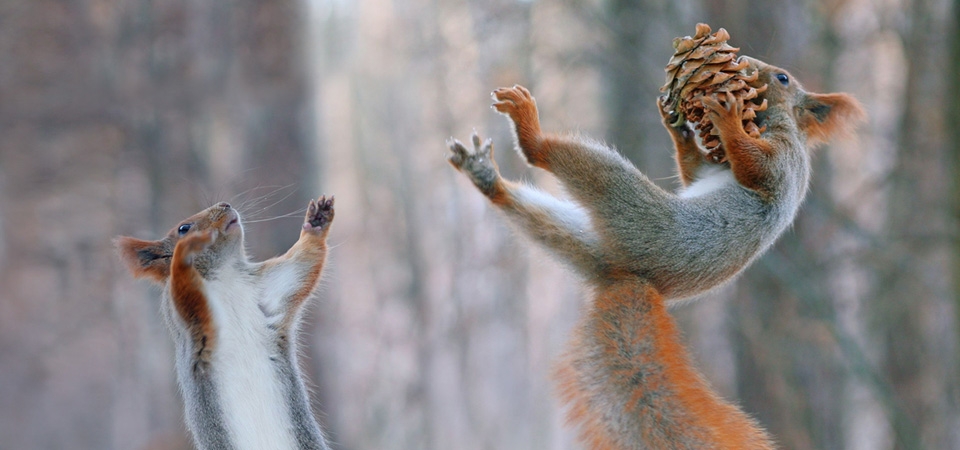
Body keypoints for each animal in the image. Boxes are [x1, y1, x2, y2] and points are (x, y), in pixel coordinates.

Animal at [116, 197, 336, 450]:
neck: (224, 272)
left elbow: (302, 264)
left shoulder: (269, 287)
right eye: (183, 228)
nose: (225, 204)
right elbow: (185, 288)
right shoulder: (186, 312)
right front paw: (184, 252)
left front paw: (317, 222)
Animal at [446, 58, 868, 448]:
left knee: (554, 159)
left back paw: (529, 130)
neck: (773, 123)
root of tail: (630, 277)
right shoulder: (712, 168)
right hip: (582, 238)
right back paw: (486, 177)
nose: (747, 65)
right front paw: (677, 126)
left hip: (629, 206)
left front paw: (728, 118)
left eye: (782, 78)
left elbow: (754, 167)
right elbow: (694, 171)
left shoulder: (783, 162)